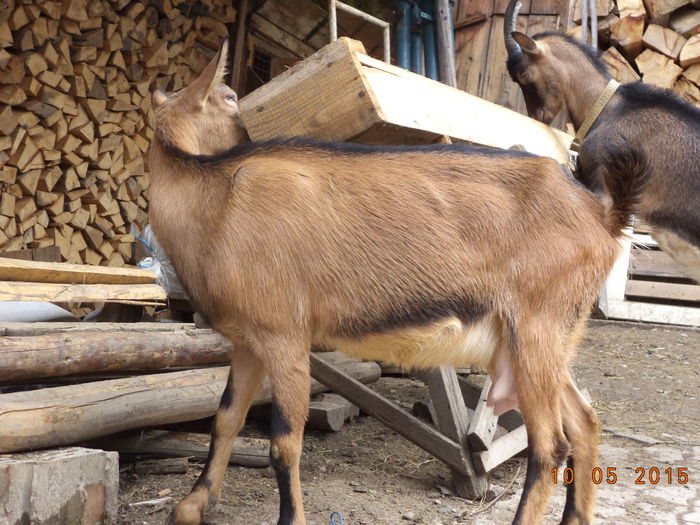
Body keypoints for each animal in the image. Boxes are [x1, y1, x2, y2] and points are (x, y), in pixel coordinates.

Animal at [149, 37, 628, 524]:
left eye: (230, 95)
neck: (218, 204)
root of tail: (600, 216)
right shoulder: (248, 341)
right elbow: (225, 417)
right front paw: (192, 504)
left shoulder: (285, 337)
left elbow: (284, 444)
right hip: (545, 341)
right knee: (585, 423)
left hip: (536, 329)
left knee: (550, 446)